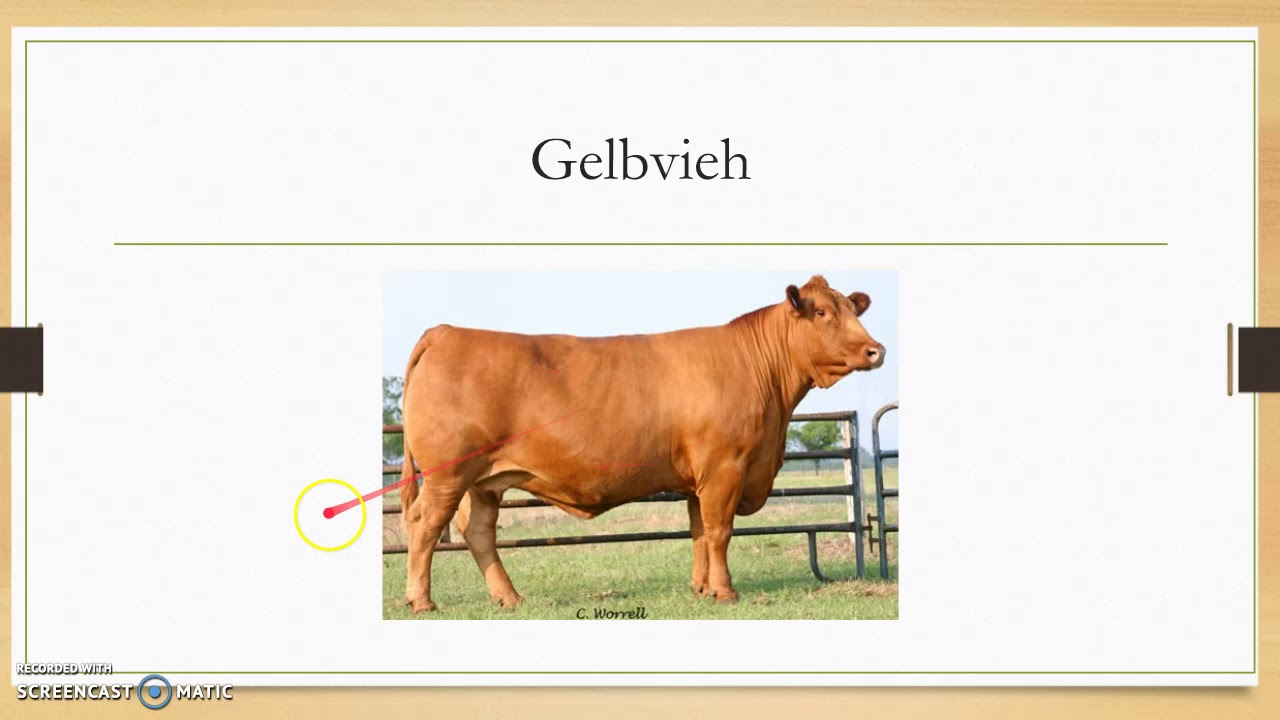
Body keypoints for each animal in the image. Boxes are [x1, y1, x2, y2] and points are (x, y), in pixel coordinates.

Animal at [397, 275, 885, 613]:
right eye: (821, 313)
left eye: (852, 308)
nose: (876, 350)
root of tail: (446, 331)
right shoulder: (724, 467)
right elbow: (720, 531)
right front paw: (726, 591)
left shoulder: (698, 478)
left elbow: (699, 532)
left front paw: (702, 589)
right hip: (448, 473)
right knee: (424, 525)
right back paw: (422, 601)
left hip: (483, 481)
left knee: (478, 532)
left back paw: (509, 598)